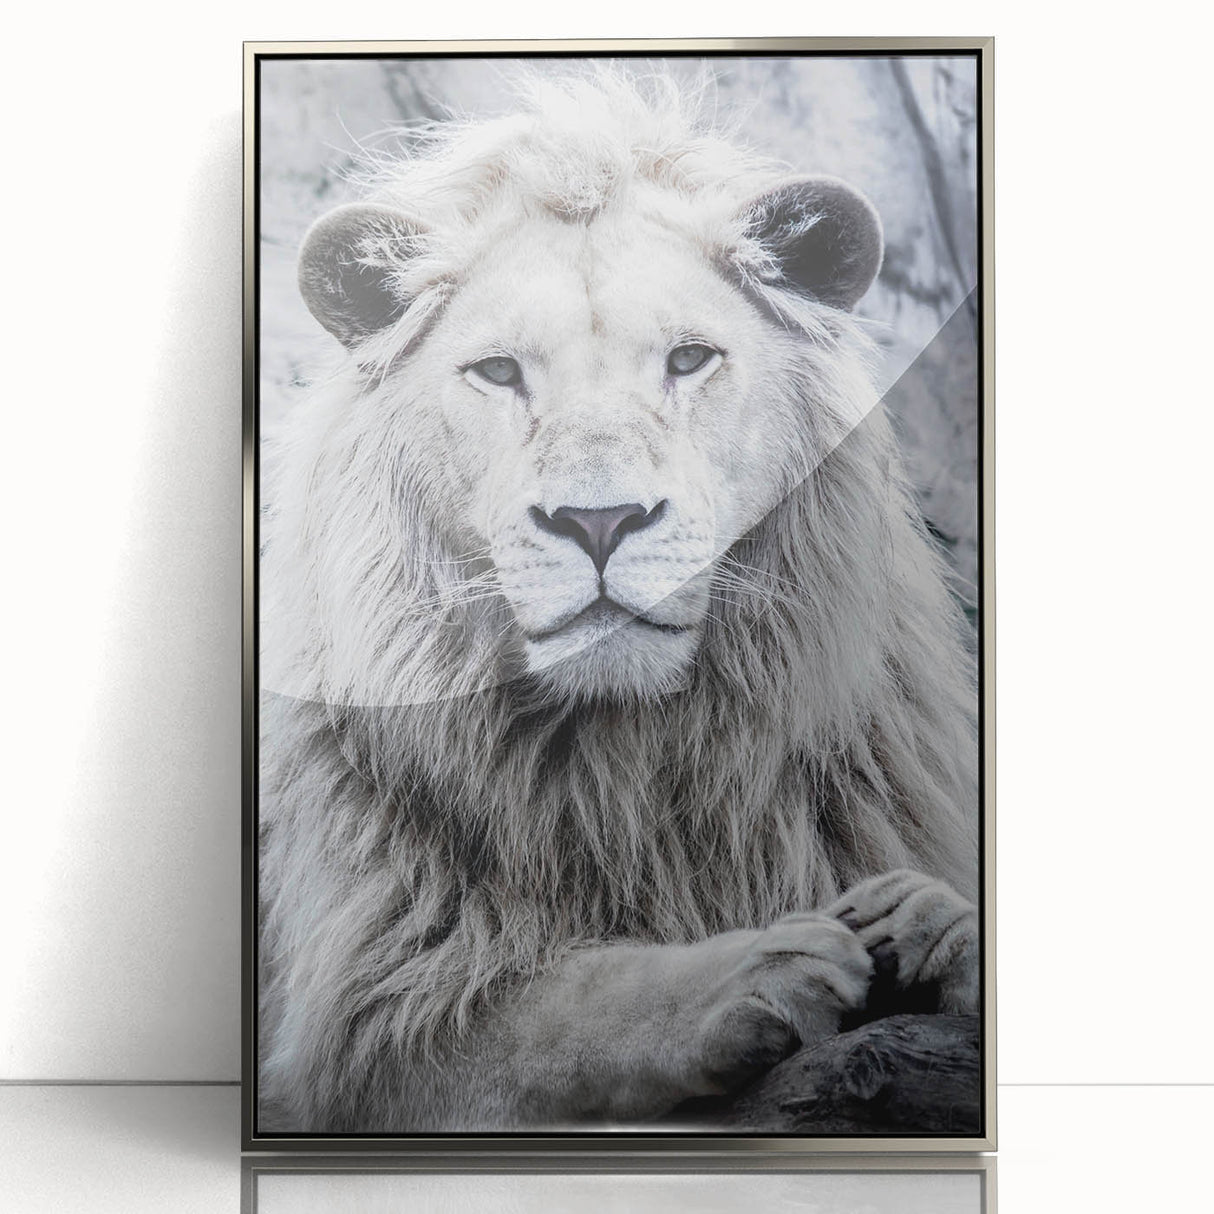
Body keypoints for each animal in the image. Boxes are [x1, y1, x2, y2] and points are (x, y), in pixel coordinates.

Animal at [258, 72, 980, 1133]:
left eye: (688, 360)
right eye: (499, 371)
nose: (599, 522)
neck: (628, 765)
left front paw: (928, 922)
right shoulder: (370, 1017)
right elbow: (564, 1007)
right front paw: (757, 968)